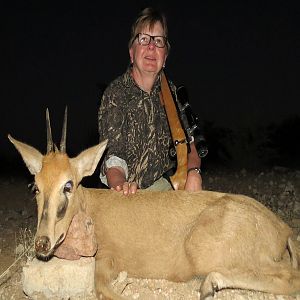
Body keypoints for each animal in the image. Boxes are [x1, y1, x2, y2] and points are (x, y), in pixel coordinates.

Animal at [8, 108, 298, 300]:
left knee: (291, 276)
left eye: (68, 184)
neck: (91, 206)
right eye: (36, 186)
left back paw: (209, 284)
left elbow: (104, 290)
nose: (42, 243)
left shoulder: (107, 258)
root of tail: (281, 229)